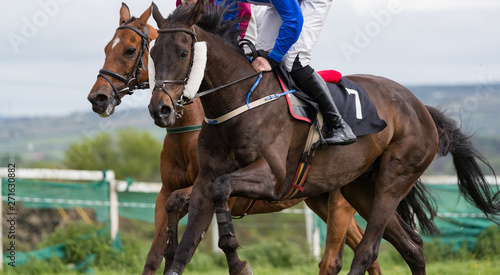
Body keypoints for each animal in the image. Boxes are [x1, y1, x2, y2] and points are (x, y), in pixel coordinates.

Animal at [88, 3, 390, 275]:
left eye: (130, 50)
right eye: (105, 48)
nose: (97, 97)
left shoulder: (226, 192)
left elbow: (187, 207)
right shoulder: (164, 192)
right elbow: (155, 250)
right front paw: (169, 254)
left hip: (340, 203)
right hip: (320, 197)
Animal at [149, 1, 500, 274]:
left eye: (183, 53)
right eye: (152, 53)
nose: (159, 109)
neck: (238, 101)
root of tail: (420, 107)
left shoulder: (272, 178)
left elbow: (223, 191)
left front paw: (236, 258)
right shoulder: (205, 180)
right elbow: (187, 242)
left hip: (394, 180)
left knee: (367, 251)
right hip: (359, 187)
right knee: (412, 246)